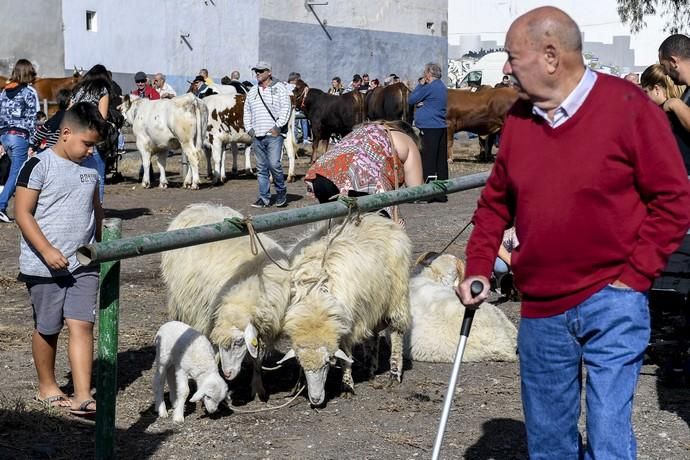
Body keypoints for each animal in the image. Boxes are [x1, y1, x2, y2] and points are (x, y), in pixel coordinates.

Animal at [278, 214, 412, 404]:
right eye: (302, 365)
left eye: (328, 363)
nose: (316, 399)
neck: (315, 305)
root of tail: (377, 218)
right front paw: (300, 382)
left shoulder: (348, 326)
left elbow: (346, 358)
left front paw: (347, 385)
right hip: (371, 304)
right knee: (372, 335)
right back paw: (370, 368)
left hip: (397, 296)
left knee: (396, 332)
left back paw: (394, 373)